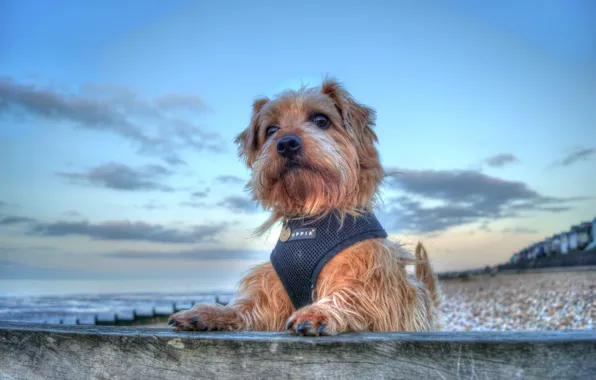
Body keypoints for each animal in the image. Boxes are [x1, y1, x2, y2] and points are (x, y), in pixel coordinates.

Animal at [169, 77, 442, 336]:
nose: (286, 143)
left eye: (321, 120)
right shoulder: (271, 289)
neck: (311, 213)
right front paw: (210, 312)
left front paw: (318, 311)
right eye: (271, 130)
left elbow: (352, 293)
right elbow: (246, 306)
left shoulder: (376, 278)